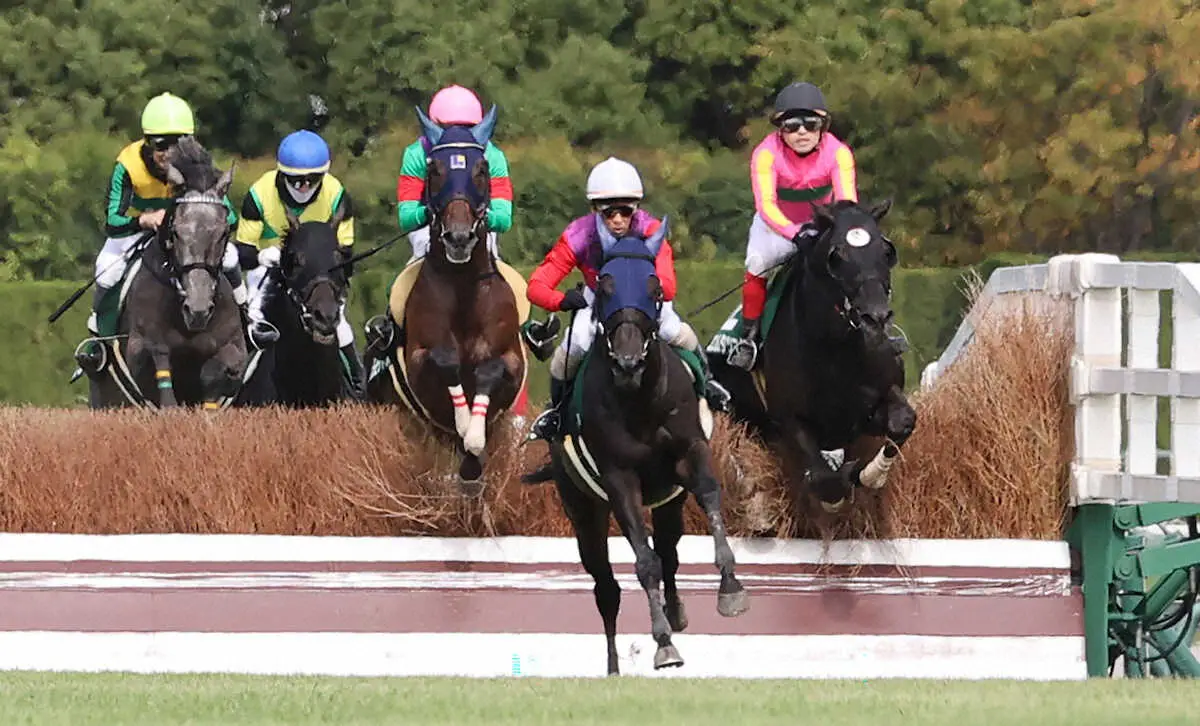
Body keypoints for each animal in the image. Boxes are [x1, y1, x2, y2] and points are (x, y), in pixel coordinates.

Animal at [362, 107, 528, 487]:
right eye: (433, 170)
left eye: (482, 169)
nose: (459, 237)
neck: (463, 284)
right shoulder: (419, 360)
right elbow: (445, 360)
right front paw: (465, 422)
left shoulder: (511, 361)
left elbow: (490, 368)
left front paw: (474, 433)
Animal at [525, 219, 748, 672]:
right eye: (605, 286)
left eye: (654, 288)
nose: (628, 362)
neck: (639, 400)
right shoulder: (618, 479)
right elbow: (643, 562)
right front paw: (663, 643)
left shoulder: (689, 454)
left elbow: (710, 501)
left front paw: (730, 587)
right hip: (583, 511)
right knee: (607, 588)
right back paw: (615, 667)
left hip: (667, 501)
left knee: (669, 551)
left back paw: (676, 611)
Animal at [705, 199, 912, 508]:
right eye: (835, 256)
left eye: (887, 252)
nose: (876, 317)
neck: (835, 351)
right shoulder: (790, 422)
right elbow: (825, 480)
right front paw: (841, 484)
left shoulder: (872, 405)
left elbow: (903, 421)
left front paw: (870, 474)